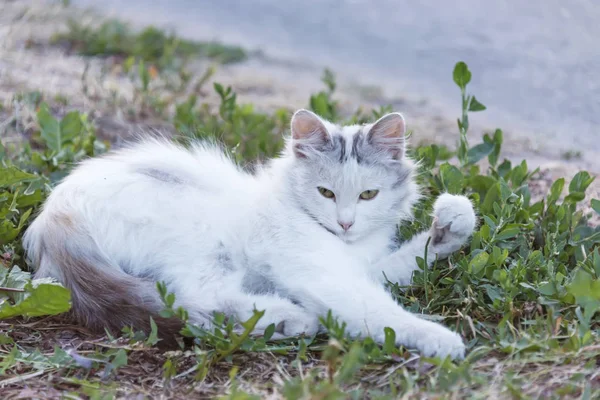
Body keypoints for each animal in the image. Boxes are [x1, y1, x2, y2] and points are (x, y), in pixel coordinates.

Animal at [22, 108, 474, 360]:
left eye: (368, 195)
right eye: (325, 193)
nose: (345, 223)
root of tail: (54, 216)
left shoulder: (358, 268)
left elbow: (406, 261)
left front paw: (451, 224)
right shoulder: (323, 276)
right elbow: (382, 313)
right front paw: (440, 339)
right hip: (202, 241)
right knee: (198, 300)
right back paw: (290, 317)